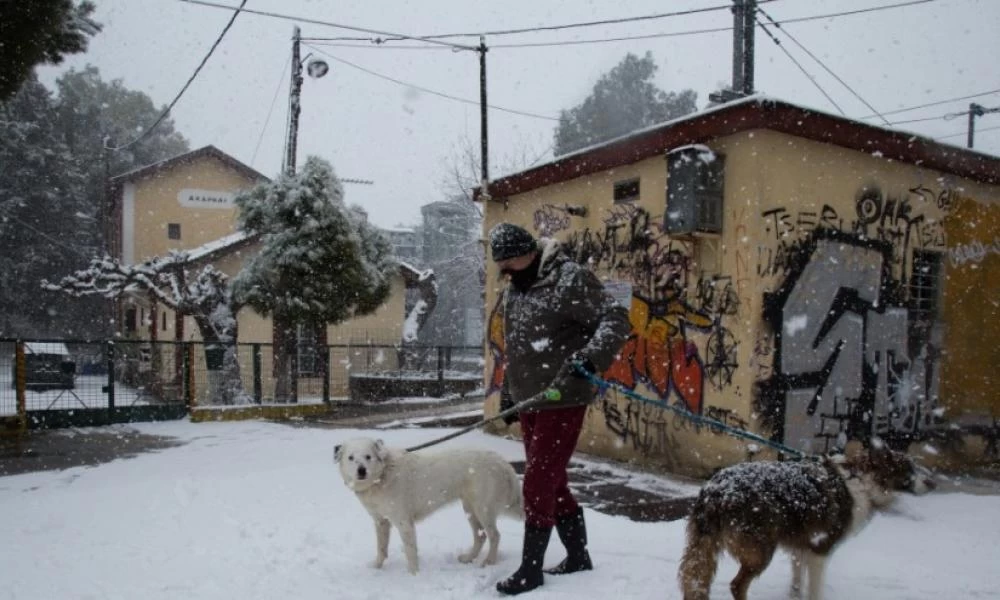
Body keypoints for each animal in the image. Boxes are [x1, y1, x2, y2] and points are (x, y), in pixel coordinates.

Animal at [336, 438, 524, 576]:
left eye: (368, 456)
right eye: (351, 458)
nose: (361, 470)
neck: (381, 476)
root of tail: (502, 461)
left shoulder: (404, 523)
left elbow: (411, 551)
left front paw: (413, 575)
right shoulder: (380, 522)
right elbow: (381, 548)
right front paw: (376, 567)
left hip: (483, 508)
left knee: (495, 536)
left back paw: (489, 561)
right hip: (470, 509)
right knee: (481, 536)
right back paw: (469, 558)